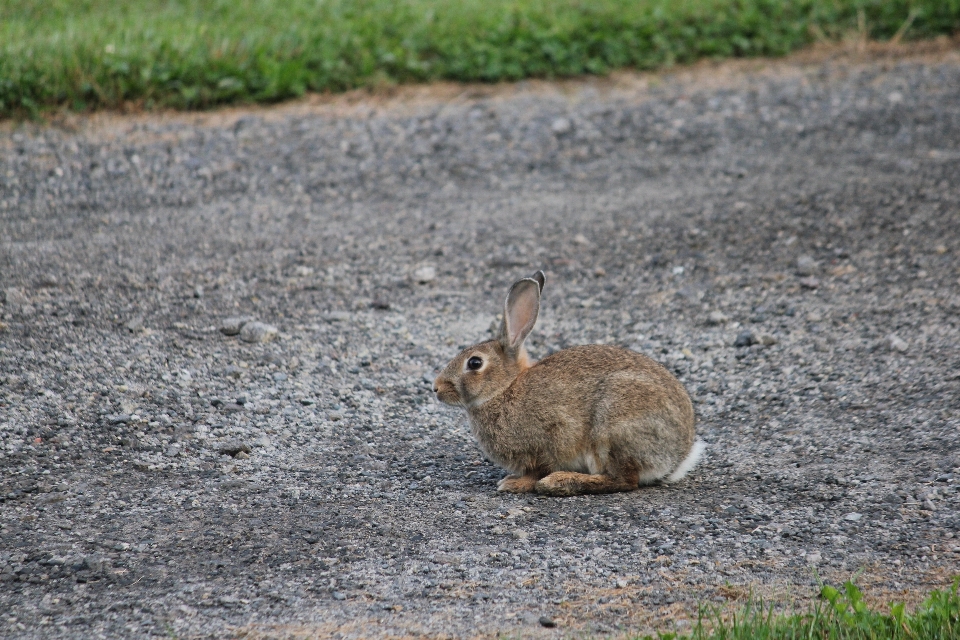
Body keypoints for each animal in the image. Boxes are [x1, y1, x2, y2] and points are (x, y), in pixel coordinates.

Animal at [432, 268, 700, 496]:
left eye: (475, 363)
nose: (436, 388)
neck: (504, 389)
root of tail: (678, 456)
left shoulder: (550, 440)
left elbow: (537, 470)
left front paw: (514, 483)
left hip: (613, 425)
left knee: (624, 480)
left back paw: (559, 482)